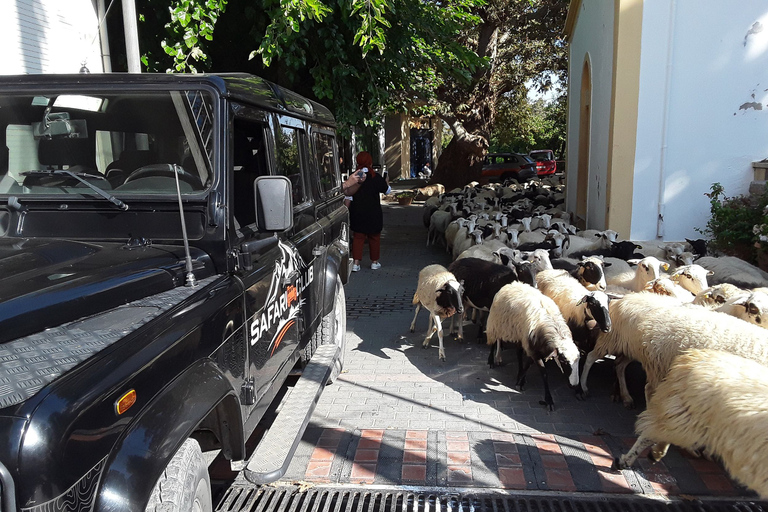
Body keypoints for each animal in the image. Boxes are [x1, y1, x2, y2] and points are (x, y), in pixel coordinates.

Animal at [486, 282, 584, 410]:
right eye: (564, 361)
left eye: (579, 361)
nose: (574, 385)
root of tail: (511, 284)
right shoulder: (534, 352)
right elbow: (544, 373)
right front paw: (548, 400)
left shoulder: (533, 348)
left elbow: (528, 364)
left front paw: (520, 380)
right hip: (496, 324)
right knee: (493, 341)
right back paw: (491, 361)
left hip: (518, 333)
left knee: (518, 353)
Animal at [580, 292, 768, 408]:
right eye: (753, 307)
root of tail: (626, 297)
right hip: (614, 341)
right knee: (592, 357)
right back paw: (585, 386)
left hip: (634, 349)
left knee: (619, 365)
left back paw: (626, 397)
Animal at [616, 350, 768, 498]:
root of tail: (691, 357)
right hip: (688, 416)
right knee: (650, 433)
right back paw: (628, 459)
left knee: (660, 431)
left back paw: (656, 453)